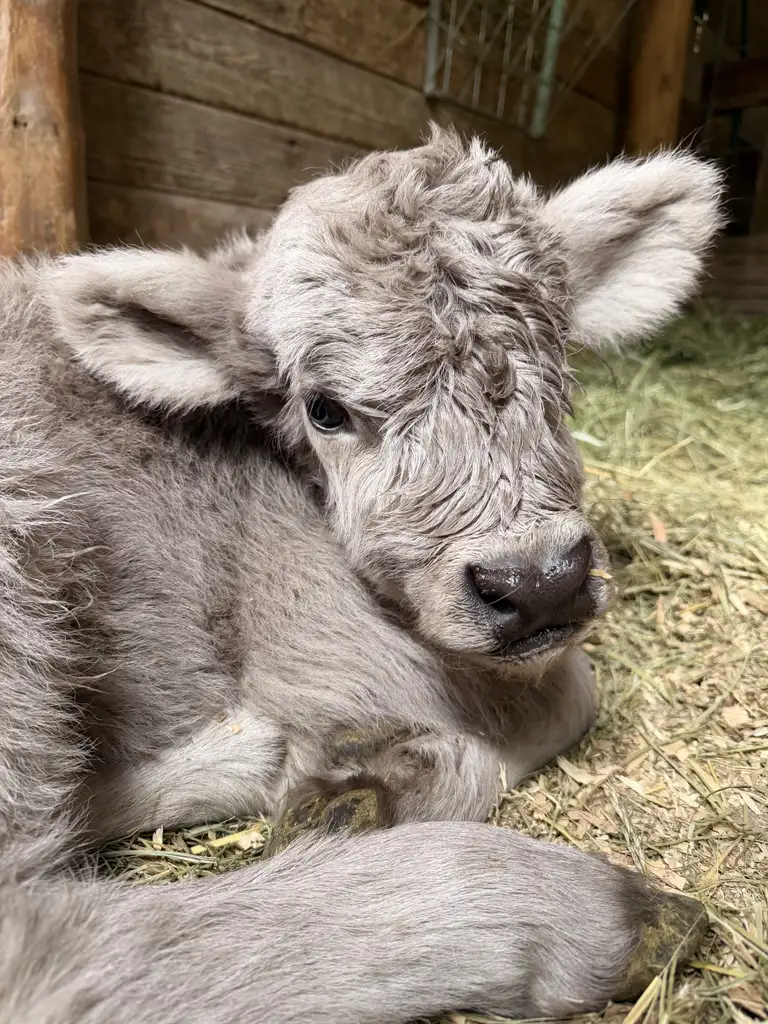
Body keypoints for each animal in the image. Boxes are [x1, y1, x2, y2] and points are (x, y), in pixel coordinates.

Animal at [0, 127, 722, 1022]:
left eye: (561, 362)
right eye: (325, 409)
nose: (539, 584)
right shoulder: (316, 632)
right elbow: (562, 698)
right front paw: (380, 782)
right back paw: (572, 908)